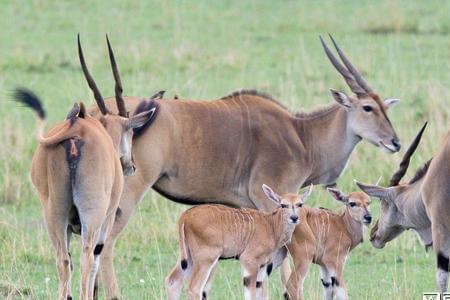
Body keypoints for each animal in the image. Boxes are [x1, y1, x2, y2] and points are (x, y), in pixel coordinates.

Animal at [14, 38, 156, 300]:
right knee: (87, 258)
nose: (131, 164)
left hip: (54, 216)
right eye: (131, 131)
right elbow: (95, 263)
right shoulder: (104, 222)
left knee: (63, 261)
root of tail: (75, 129)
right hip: (92, 216)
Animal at [165, 184, 312, 300]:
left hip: (188, 258)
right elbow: (250, 294)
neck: (271, 225)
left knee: (173, 282)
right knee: (194, 288)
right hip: (206, 259)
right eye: (283, 205)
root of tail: (186, 215)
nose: (294, 218)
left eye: (300, 204)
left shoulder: (263, 266)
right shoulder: (249, 260)